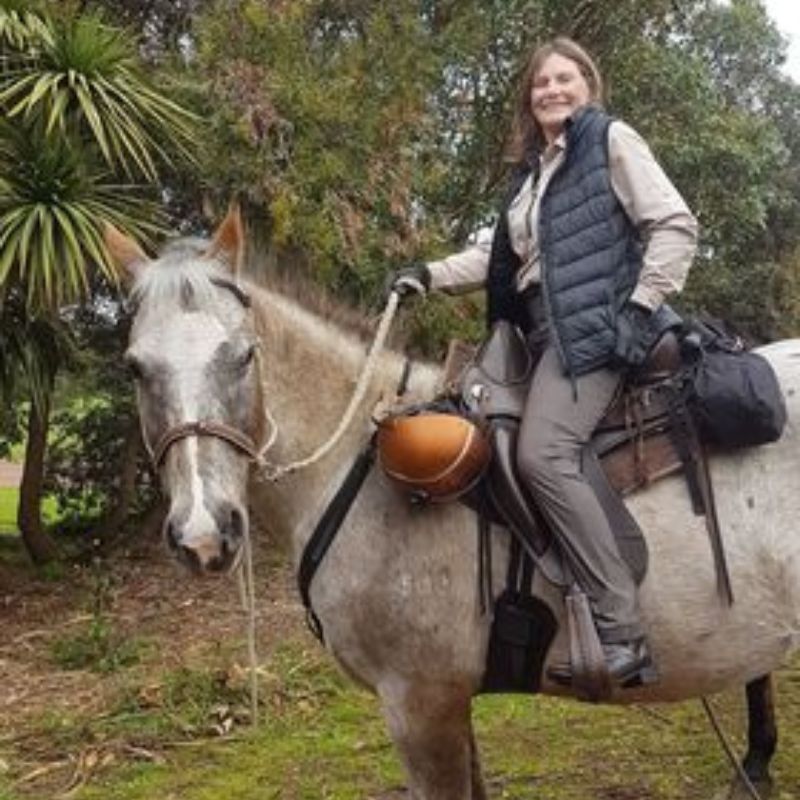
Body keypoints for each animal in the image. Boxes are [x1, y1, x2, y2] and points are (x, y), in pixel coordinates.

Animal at [108, 209, 800, 796]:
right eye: (136, 367)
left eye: (244, 355)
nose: (203, 533)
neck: (359, 466)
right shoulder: (448, 702)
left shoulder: (420, 702)